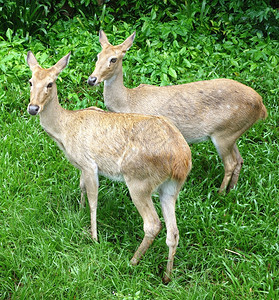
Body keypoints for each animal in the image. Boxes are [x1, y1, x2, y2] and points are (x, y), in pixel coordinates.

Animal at [26, 50, 192, 282]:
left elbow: (94, 200)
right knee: (173, 231)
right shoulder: (81, 166)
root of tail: (181, 160)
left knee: (153, 224)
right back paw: (166, 276)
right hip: (170, 187)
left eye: (50, 83)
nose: (33, 108)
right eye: (30, 81)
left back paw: (132, 261)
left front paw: (94, 237)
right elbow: (81, 187)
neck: (65, 129)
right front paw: (78, 212)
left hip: (139, 180)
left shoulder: (89, 164)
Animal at [88, 31, 268, 195]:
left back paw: (220, 194)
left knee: (230, 163)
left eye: (113, 59)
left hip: (224, 134)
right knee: (239, 160)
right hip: (233, 133)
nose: (92, 79)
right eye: (97, 56)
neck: (128, 102)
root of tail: (261, 106)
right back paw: (231, 190)